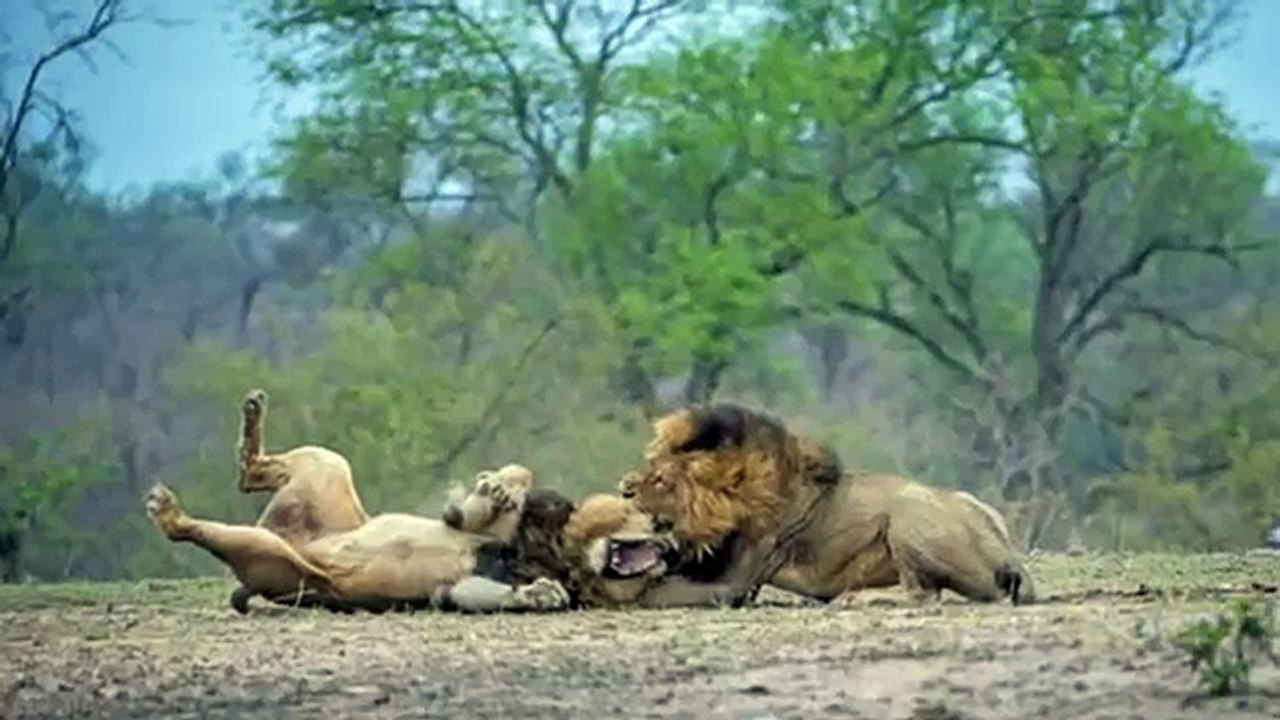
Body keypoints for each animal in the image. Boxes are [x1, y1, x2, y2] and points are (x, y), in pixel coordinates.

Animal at [618, 403, 1035, 607]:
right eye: (648, 467)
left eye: (661, 479)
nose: (623, 488)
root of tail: (1008, 552)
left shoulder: (737, 577)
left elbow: (665, 592)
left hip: (908, 512)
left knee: (924, 595)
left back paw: (856, 598)